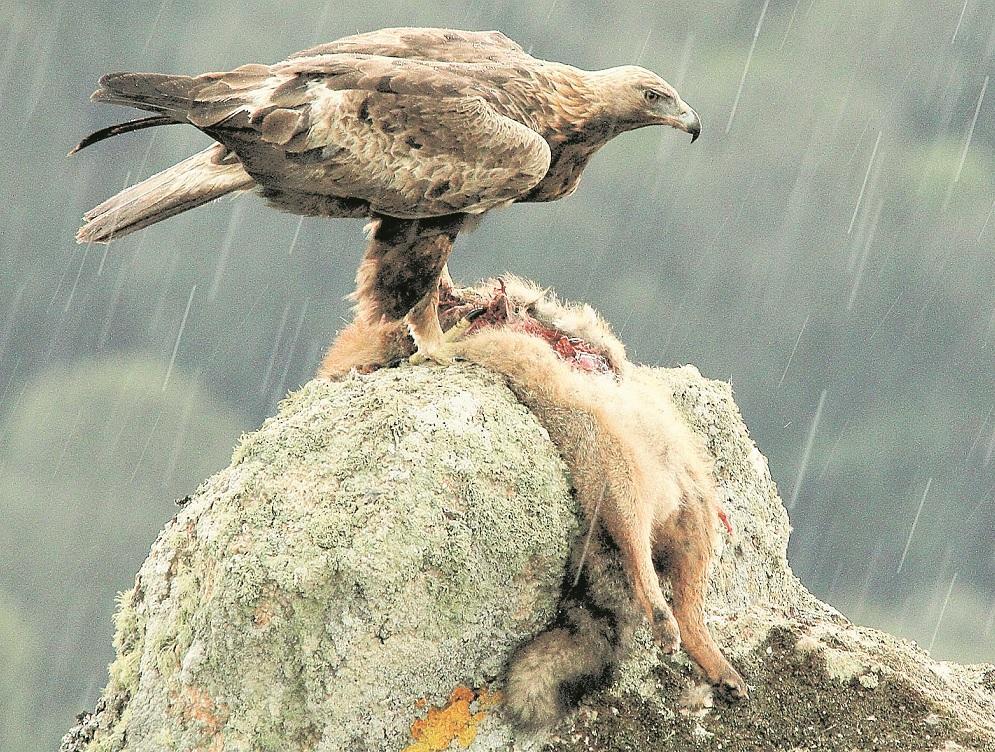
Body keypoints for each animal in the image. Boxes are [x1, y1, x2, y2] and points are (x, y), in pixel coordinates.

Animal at [317, 273, 747, 729]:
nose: (462, 302)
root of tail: (665, 501)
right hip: (618, 477)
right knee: (646, 570)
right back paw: (667, 624)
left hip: (689, 511)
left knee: (688, 607)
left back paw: (720, 668)